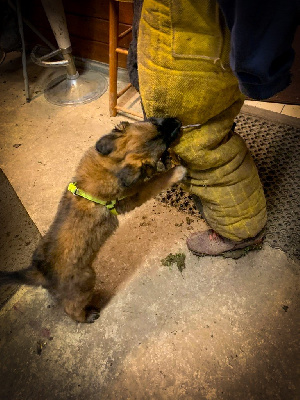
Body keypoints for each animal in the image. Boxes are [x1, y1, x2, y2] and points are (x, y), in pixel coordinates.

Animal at [0, 118, 185, 322]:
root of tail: (39, 273)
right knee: (71, 309)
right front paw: (176, 171)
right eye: (163, 138)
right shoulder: (135, 195)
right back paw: (87, 315)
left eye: (154, 121)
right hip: (86, 280)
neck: (110, 164)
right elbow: (156, 181)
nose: (178, 121)